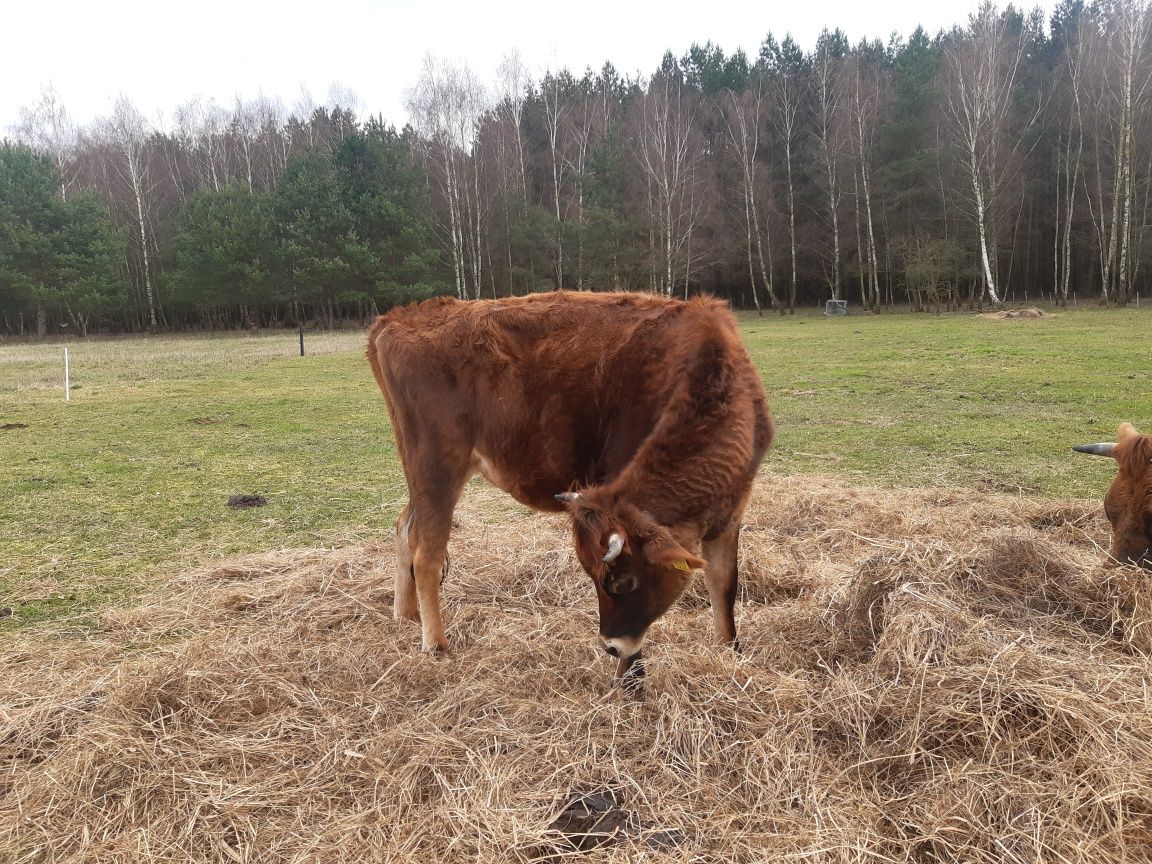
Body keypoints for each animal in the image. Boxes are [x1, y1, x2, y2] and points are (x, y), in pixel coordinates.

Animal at [368, 291, 774, 677]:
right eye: (605, 581)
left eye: (623, 583)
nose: (609, 645)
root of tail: (397, 318)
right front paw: (631, 681)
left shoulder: (728, 519)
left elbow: (723, 585)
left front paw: (730, 653)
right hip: (437, 466)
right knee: (427, 553)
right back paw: (435, 644)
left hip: (422, 472)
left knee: (404, 527)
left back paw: (405, 614)